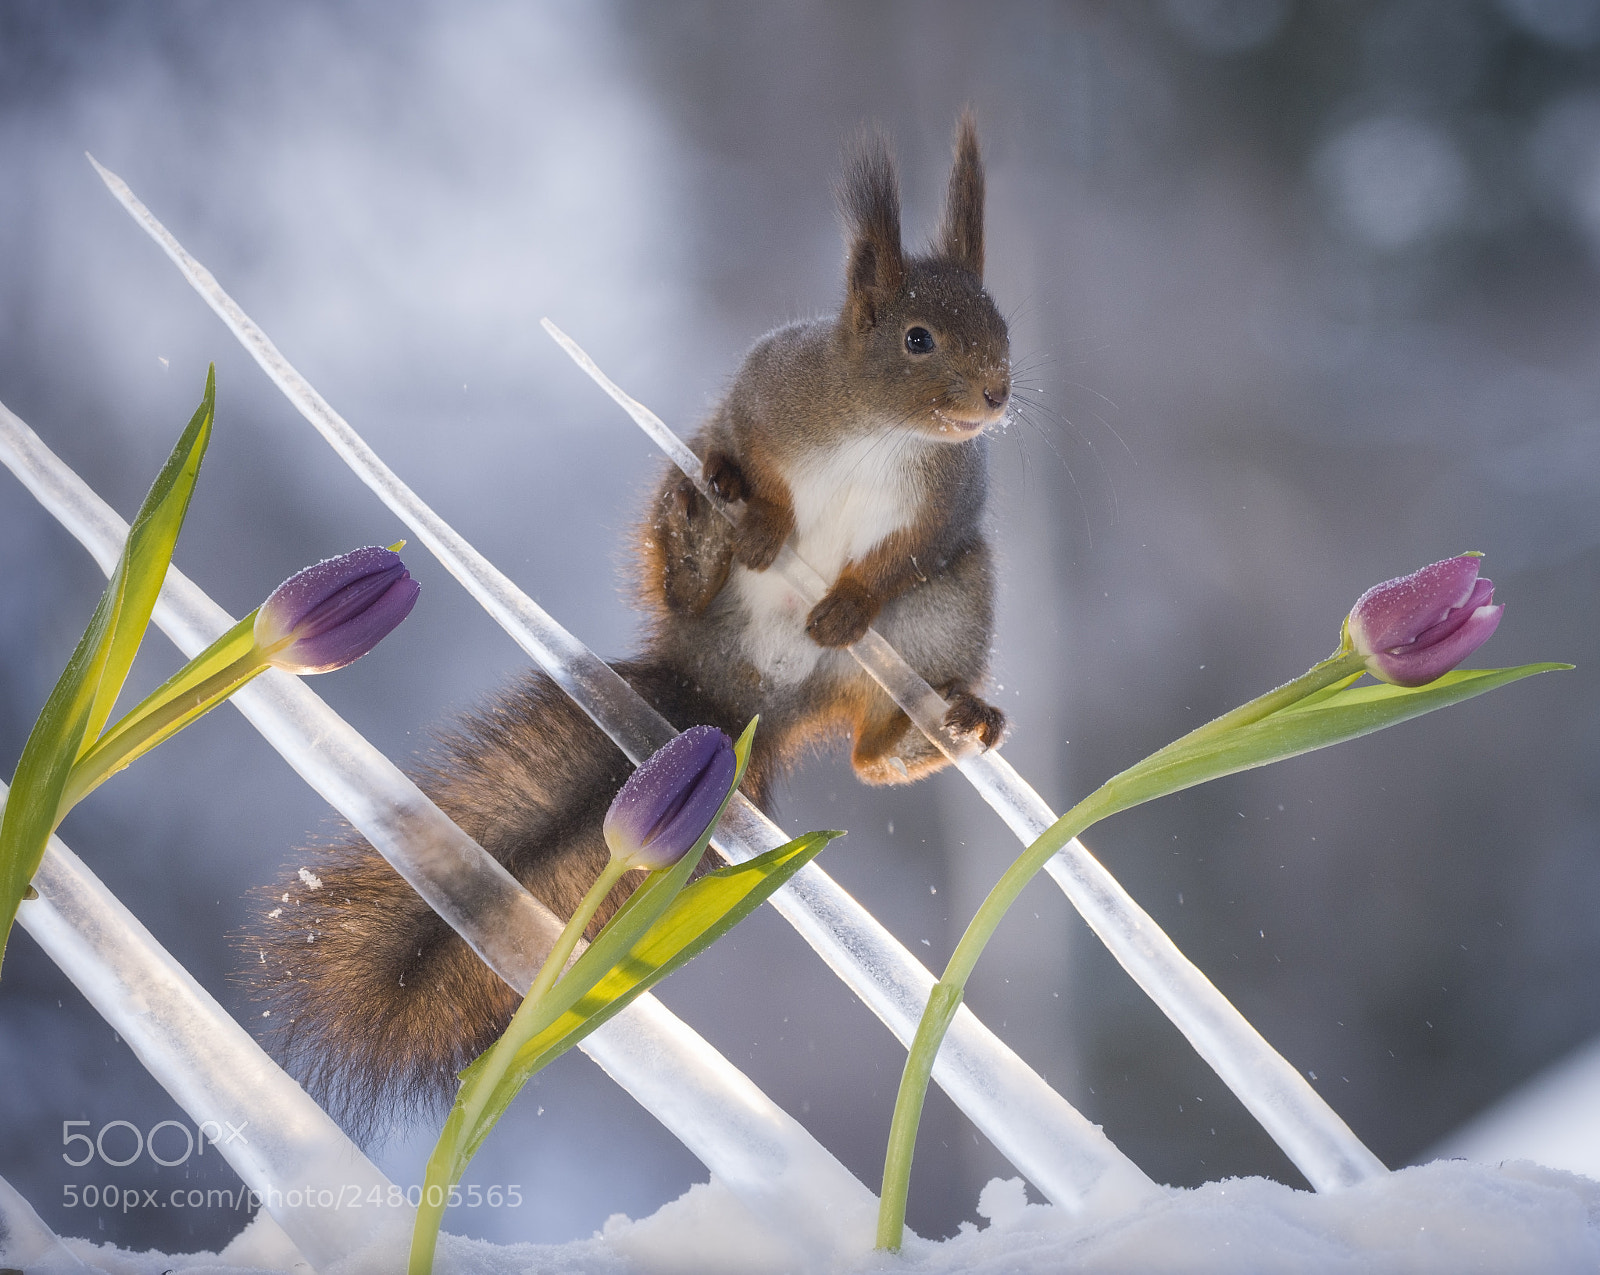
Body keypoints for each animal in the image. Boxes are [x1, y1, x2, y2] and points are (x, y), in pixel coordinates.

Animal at [248, 113, 1012, 1135]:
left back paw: (942, 727)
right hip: (684, 526)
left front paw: (849, 602)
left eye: (1003, 326)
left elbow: (906, 556)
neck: (884, 431)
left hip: (951, 607)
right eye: (918, 337)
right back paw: (703, 538)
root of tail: (732, 700)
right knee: (686, 559)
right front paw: (764, 523)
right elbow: (749, 451)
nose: (998, 396)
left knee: (869, 748)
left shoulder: (946, 509)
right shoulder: (760, 397)